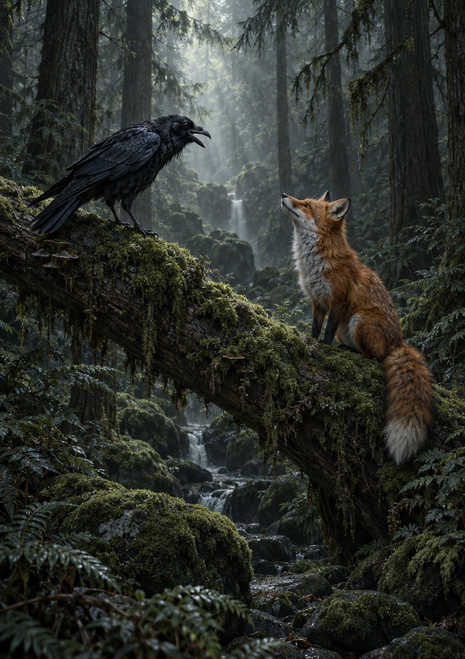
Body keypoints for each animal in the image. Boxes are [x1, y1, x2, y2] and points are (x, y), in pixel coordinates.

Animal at [281, 190, 434, 465]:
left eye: (307, 205)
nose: (284, 194)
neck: (315, 263)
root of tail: (399, 342)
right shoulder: (317, 301)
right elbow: (315, 328)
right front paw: (312, 342)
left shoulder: (338, 301)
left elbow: (327, 331)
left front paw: (325, 347)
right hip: (349, 327)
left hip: (358, 319)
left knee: (374, 358)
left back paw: (350, 352)